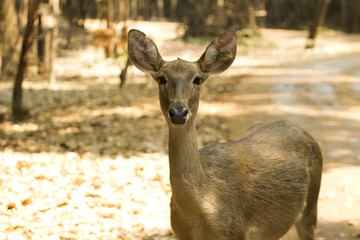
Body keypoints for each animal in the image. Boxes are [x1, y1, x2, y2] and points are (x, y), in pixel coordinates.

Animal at [127, 29, 324, 240]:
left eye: (197, 79)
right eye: (161, 79)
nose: (178, 112)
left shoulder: (235, 230)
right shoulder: (179, 233)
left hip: (311, 204)